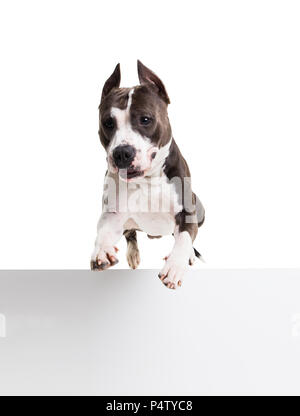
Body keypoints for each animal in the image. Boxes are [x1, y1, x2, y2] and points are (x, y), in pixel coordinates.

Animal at [90, 61, 205, 290]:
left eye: (145, 119)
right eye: (108, 123)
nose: (122, 153)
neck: (147, 180)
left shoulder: (187, 212)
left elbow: (184, 238)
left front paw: (175, 266)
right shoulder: (112, 214)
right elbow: (104, 232)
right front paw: (102, 251)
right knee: (130, 234)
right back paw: (133, 254)